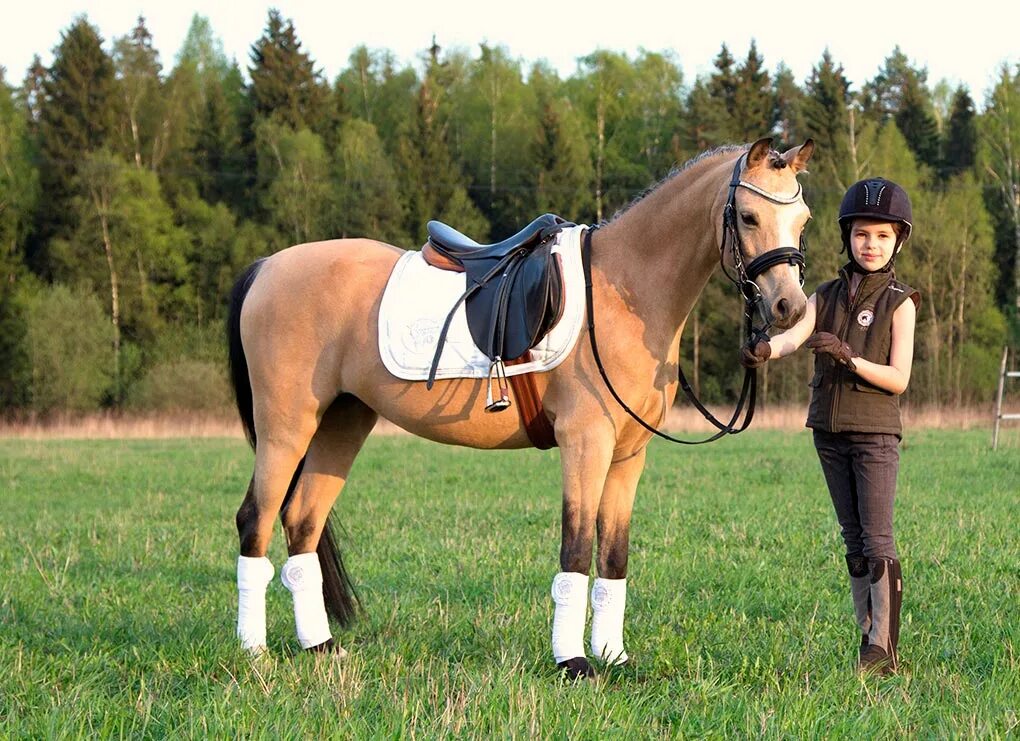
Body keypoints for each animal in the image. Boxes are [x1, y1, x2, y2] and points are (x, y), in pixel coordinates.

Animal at [227, 137, 816, 677]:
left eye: (804, 220)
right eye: (748, 215)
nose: (788, 307)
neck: (623, 291)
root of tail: (267, 267)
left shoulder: (629, 454)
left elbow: (614, 554)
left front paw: (614, 657)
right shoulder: (585, 443)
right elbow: (576, 548)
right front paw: (574, 662)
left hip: (344, 422)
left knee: (302, 520)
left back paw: (320, 646)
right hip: (286, 427)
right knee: (256, 519)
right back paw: (254, 652)